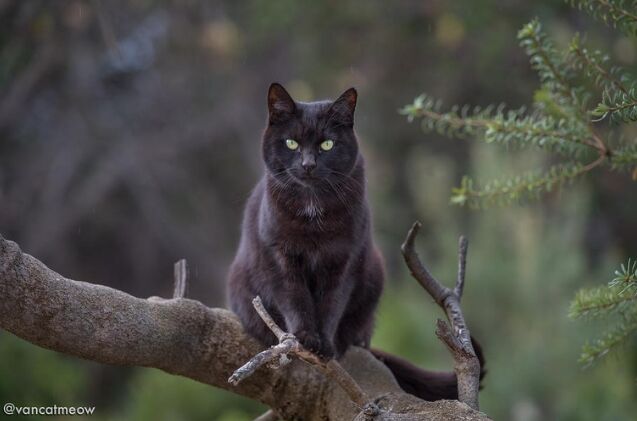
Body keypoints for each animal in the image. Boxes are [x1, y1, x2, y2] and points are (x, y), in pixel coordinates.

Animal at [226, 83, 484, 400]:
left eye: (327, 144)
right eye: (291, 143)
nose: (308, 164)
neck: (313, 209)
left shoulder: (344, 259)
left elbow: (332, 303)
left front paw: (325, 345)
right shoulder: (279, 257)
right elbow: (294, 297)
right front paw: (305, 339)